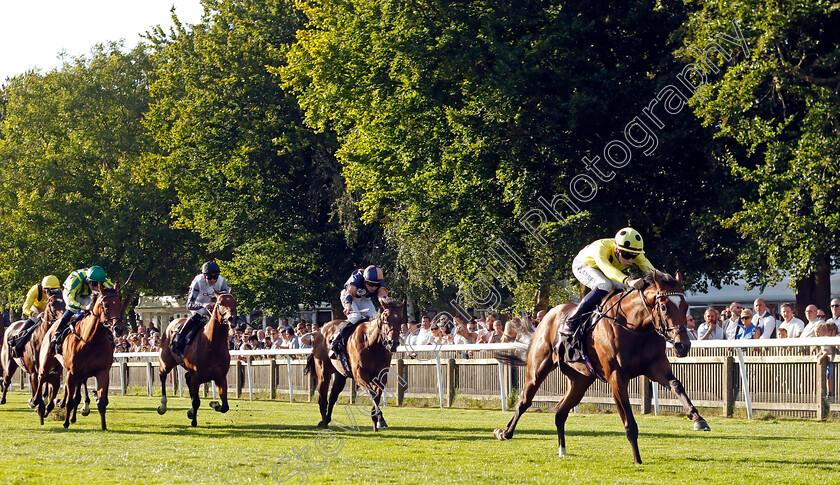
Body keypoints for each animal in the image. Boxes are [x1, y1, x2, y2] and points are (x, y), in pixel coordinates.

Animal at [36, 286, 126, 430]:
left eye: (119, 303)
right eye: (106, 305)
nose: (118, 328)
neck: (91, 339)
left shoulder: (102, 372)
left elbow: (101, 401)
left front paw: (103, 425)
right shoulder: (72, 373)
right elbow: (70, 401)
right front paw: (65, 422)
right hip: (46, 362)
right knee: (41, 378)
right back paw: (37, 404)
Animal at [157, 290, 236, 426]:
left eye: (234, 301)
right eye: (220, 303)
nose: (232, 318)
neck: (211, 345)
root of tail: (172, 322)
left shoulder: (220, 377)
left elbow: (225, 406)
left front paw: (214, 404)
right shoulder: (197, 377)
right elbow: (196, 401)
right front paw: (194, 420)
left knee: (186, 377)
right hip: (166, 362)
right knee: (162, 376)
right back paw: (163, 406)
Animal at [306, 298, 404, 432]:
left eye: (400, 319)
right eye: (386, 318)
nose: (393, 343)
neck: (372, 344)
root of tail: (320, 330)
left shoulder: (381, 377)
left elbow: (377, 396)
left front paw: (378, 421)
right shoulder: (360, 375)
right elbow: (372, 394)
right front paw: (378, 419)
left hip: (340, 375)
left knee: (332, 396)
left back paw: (327, 419)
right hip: (323, 373)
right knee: (323, 399)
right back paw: (325, 422)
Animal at [492, 270, 708, 464]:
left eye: (685, 306)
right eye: (663, 306)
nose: (683, 345)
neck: (635, 327)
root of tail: (549, 315)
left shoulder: (656, 367)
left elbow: (676, 385)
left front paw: (698, 419)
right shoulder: (616, 377)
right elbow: (628, 420)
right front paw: (637, 459)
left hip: (581, 380)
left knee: (560, 411)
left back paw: (562, 450)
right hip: (538, 368)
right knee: (524, 401)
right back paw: (504, 432)